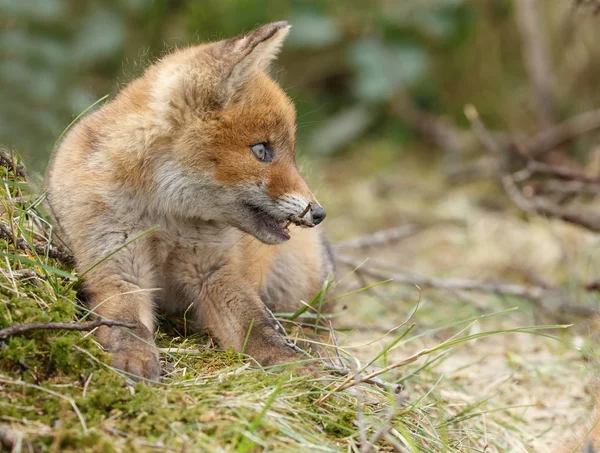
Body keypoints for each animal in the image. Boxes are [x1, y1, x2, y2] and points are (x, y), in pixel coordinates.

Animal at [44, 22, 332, 382]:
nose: (319, 213)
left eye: (289, 152)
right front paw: (133, 357)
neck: (164, 218)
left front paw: (293, 364)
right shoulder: (116, 263)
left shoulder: (215, 271)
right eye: (261, 150)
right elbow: (126, 322)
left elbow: (258, 326)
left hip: (298, 288)